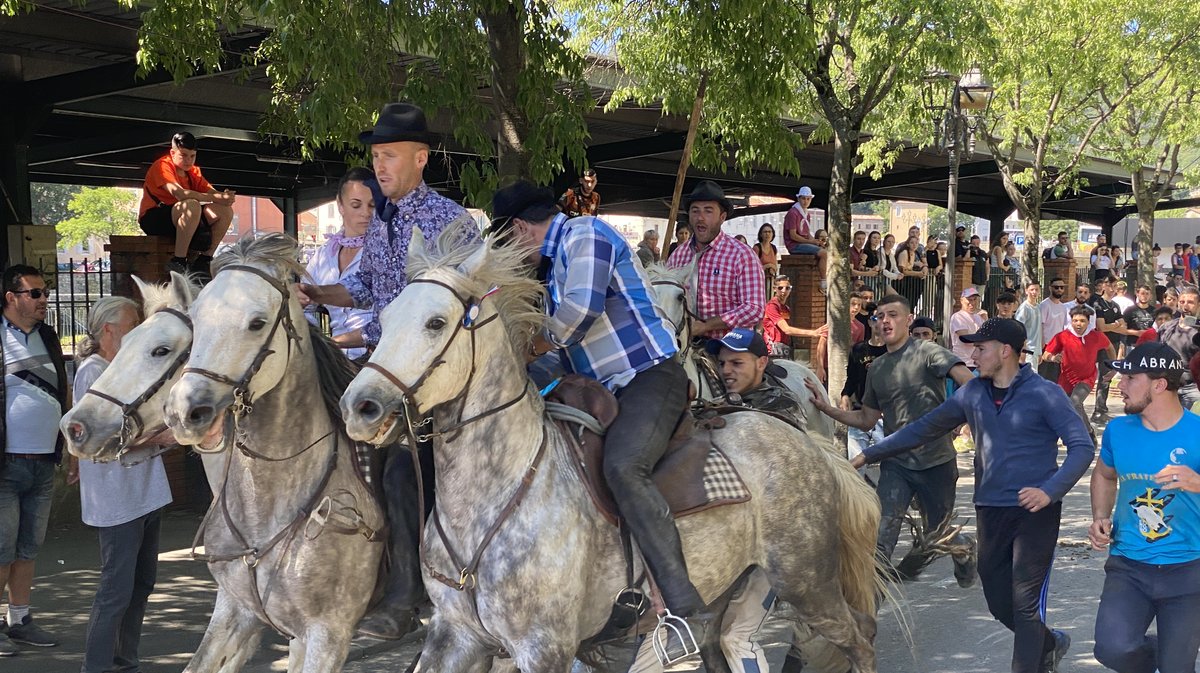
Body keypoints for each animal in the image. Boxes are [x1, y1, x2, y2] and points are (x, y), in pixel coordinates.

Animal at [338, 227, 883, 667]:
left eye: (435, 322)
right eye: (385, 317)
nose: (359, 406)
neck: (497, 495)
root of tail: (799, 438)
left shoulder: (544, 647)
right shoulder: (455, 637)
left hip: (806, 579)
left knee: (861, 638)